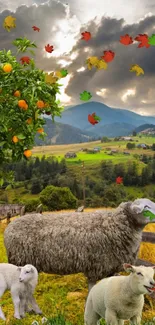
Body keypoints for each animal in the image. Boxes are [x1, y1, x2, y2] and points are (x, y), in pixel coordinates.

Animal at [3, 197, 155, 292]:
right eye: (146, 207)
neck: (114, 224)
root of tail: (9, 227)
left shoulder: (108, 269)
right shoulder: (95, 267)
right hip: (18, 260)